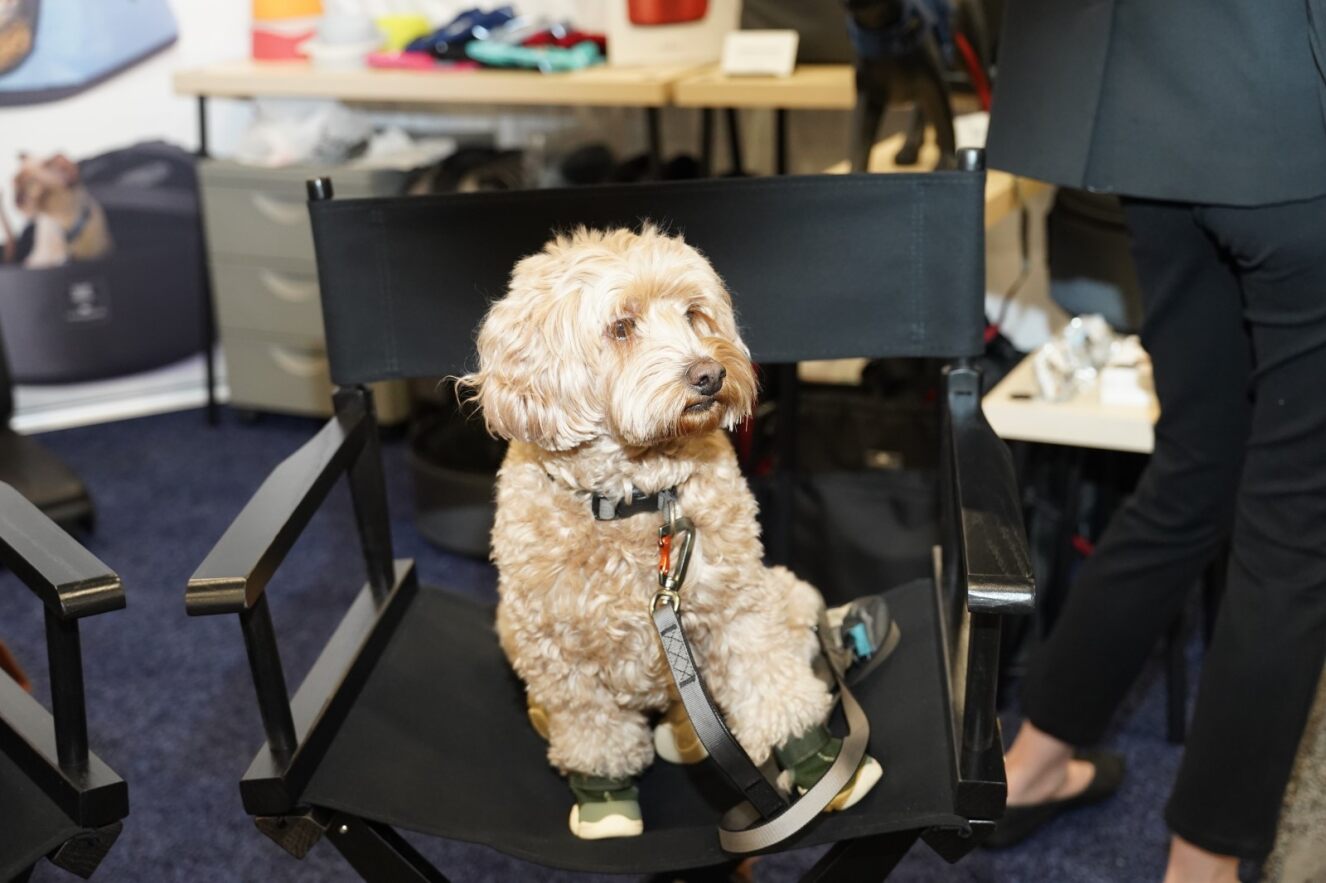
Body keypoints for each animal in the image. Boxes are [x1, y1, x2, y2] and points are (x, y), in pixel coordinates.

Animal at [461, 224, 885, 837]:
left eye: (693, 314)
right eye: (621, 327)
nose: (710, 374)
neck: (635, 500)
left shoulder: (737, 607)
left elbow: (771, 684)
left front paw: (821, 765)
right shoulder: (559, 652)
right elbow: (594, 732)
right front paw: (604, 797)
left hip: (776, 595)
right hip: (513, 632)